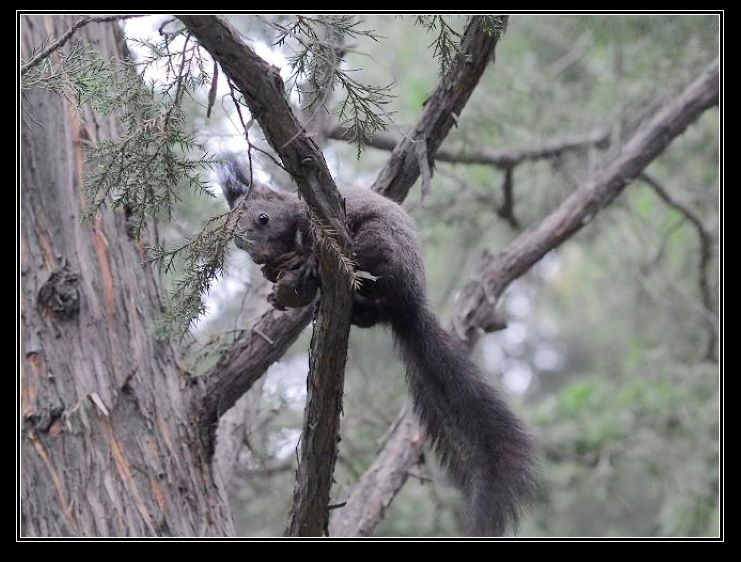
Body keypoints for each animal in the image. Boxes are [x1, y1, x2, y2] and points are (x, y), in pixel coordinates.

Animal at [217, 154, 536, 532]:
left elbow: (312, 247)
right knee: (369, 315)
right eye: (237, 240)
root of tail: (409, 306)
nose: (258, 257)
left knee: (365, 261)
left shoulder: (320, 223)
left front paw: (304, 264)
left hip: (377, 243)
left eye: (263, 218)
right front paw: (275, 283)